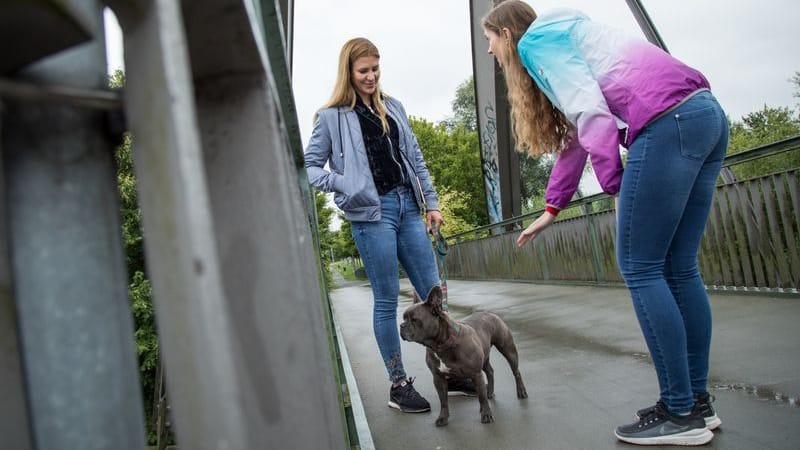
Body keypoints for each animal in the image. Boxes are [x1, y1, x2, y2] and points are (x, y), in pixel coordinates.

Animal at [398, 284, 524, 426]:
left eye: (414, 320)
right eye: (404, 318)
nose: (401, 325)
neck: (441, 345)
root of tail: (490, 313)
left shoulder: (476, 374)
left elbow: (481, 397)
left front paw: (486, 414)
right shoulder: (438, 378)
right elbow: (443, 401)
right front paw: (443, 417)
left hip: (507, 348)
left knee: (516, 371)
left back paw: (521, 392)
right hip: (485, 356)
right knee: (490, 371)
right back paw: (490, 392)